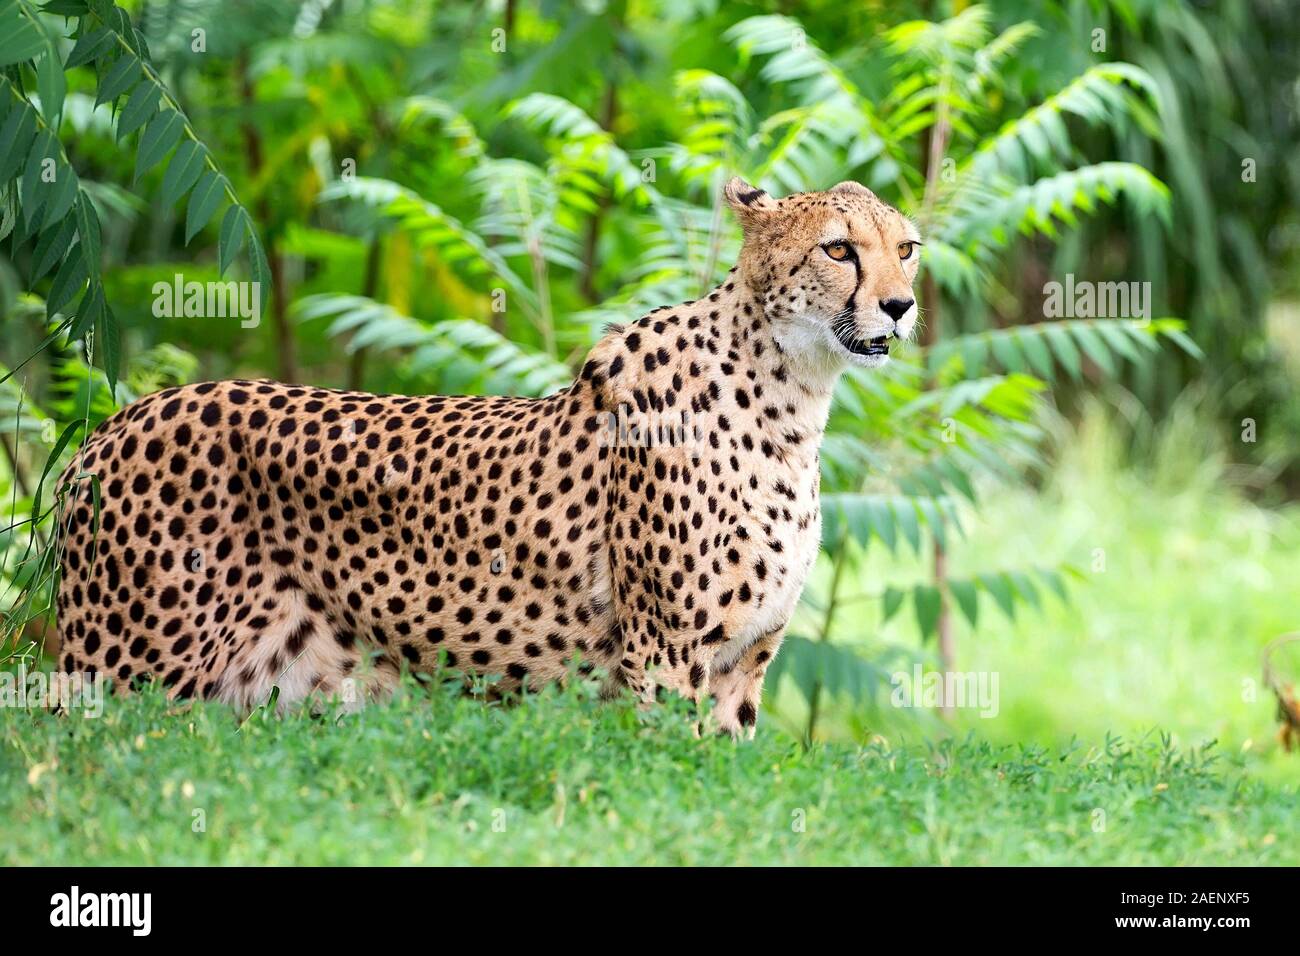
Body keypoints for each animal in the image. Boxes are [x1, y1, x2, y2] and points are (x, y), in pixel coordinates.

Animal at [53, 178, 925, 733]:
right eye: (839, 250)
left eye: (908, 247)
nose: (900, 305)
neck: (793, 393)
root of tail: (113, 422)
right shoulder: (664, 660)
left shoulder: (742, 668)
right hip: (122, 679)